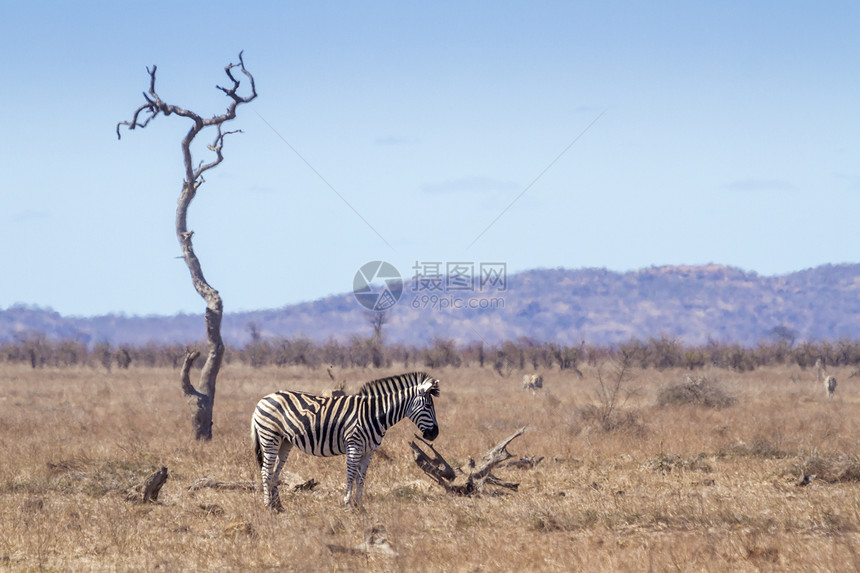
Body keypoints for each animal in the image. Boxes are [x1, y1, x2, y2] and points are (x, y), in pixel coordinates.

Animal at [249, 370, 436, 510]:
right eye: (428, 406)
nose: (434, 434)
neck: (373, 414)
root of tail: (262, 400)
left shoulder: (369, 450)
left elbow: (361, 477)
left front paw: (359, 506)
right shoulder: (354, 445)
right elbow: (351, 474)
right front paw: (347, 503)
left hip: (284, 441)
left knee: (274, 472)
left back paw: (278, 506)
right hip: (269, 437)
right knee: (266, 471)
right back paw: (268, 506)